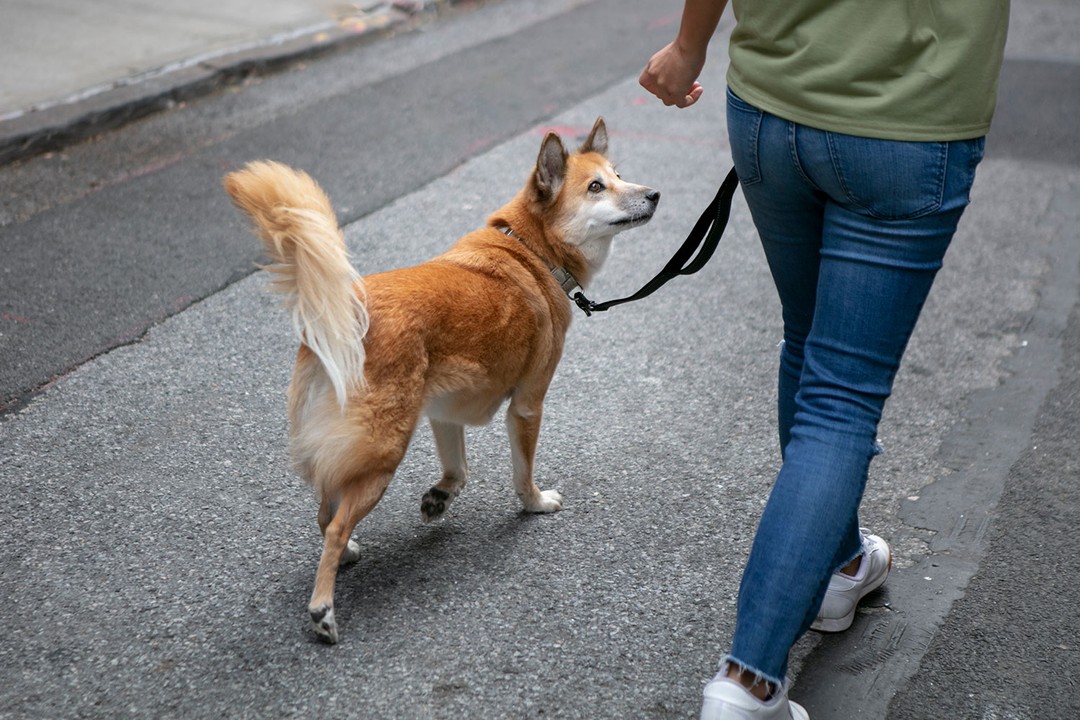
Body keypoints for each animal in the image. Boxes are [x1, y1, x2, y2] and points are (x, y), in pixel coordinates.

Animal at [222, 119, 656, 647]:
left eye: (620, 175)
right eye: (596, 187)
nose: (654, 194)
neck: (531, 250)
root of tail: (347, 312)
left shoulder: (445, 411)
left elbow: (459, 470)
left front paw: (438, 498)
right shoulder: (527, 405)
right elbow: (522, 474)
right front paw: (534, 504)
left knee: (327, 511)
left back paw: (347, 554)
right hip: (383, 452)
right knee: (334, 523)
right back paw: (323, 609)